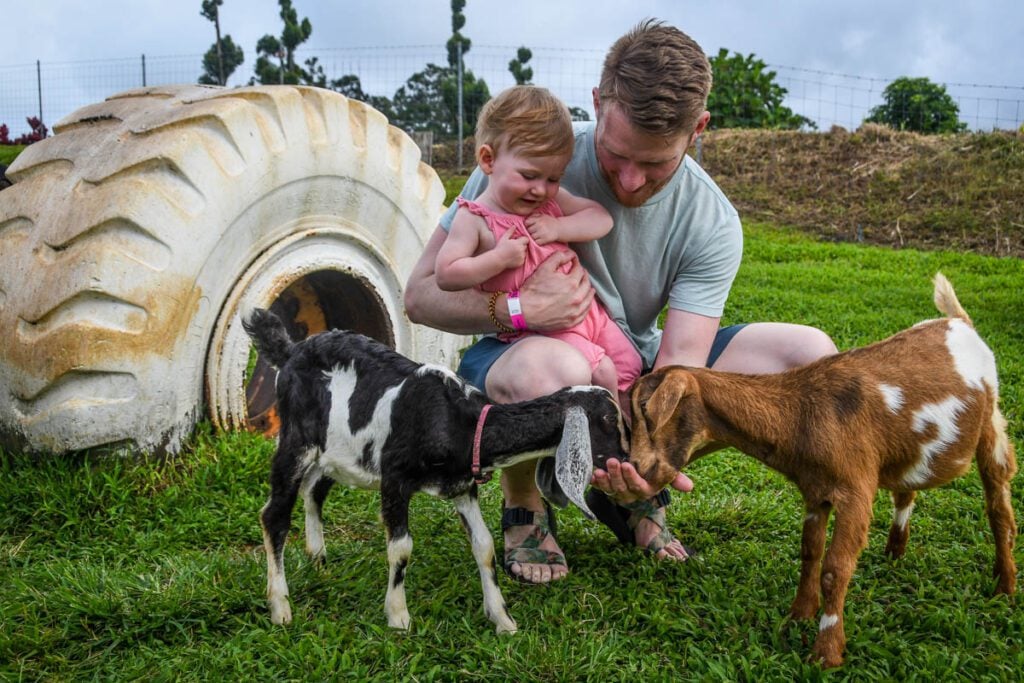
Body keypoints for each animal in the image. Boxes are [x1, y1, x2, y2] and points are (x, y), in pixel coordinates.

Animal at [241, 309, 622, 634]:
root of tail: (291, 351)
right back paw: (280, 606)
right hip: (296, 440)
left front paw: (502, 619)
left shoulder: (463, 487)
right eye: (609, 420)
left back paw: (317, 556)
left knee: (314, 490)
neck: (460, 421)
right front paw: (398, 617)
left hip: (336, 451)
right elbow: (401, 548)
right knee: (274, 514)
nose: (625, 458)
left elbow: (484, 545)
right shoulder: (395, 480)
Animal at [630, 274, 1015, 667]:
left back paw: (1004, 586)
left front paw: (827, 651)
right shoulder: (815, 493)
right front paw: (798, 614)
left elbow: (835, 568)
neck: (803, 413)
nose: (635, 466)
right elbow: (810, 551)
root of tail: (958, 321)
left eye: (647, 409)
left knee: (998, 503)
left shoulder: (855, 491)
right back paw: (895, 552)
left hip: (991, 425)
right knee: (906, 488)